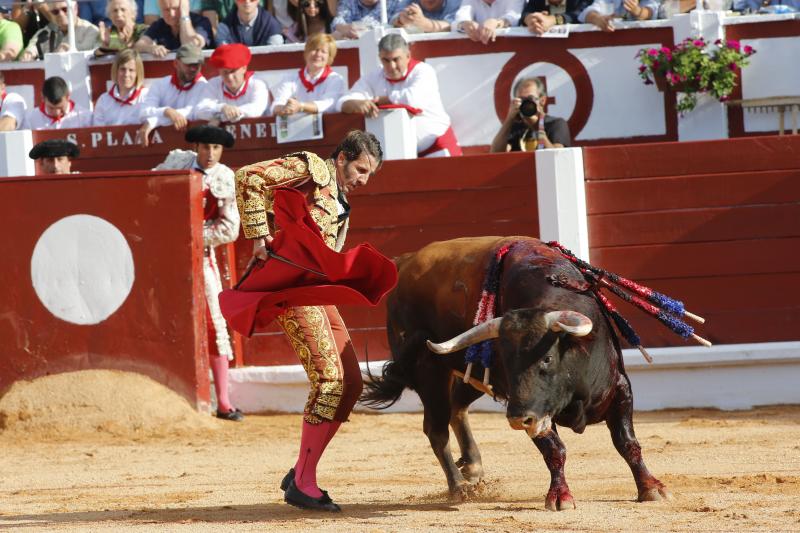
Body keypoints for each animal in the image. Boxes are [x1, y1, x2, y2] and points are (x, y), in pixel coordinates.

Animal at [360, 236, 668, 508]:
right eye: (506, 362)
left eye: (547, 359)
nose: (518, 418)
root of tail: (404, 262)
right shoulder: (531, 408)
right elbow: (554, 449)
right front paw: (560, 497)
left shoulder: (620, 388)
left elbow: (627, 443)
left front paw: (651, 488)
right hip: (428, 371)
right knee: (436, 429)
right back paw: (459, 486)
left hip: (471, 373)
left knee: (457, 407)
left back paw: (472, 465)